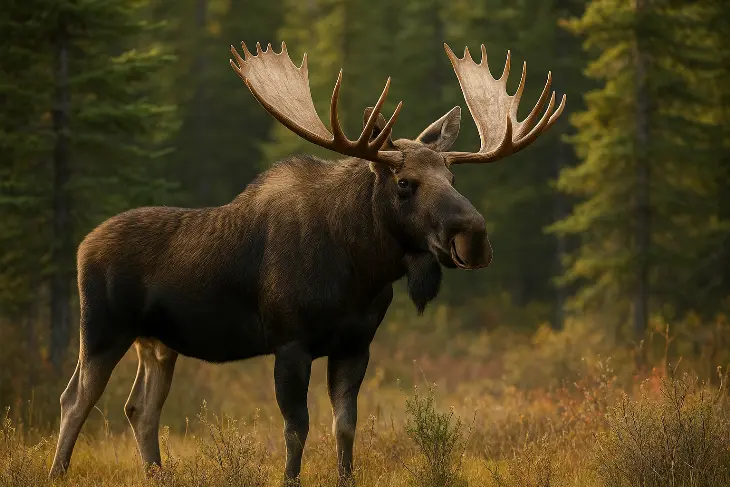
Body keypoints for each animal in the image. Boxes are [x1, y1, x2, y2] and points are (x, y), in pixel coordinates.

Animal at [49, 41, 565, 485]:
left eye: (452, 177)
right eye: (404, 183)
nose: (473, 237)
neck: (359, 271)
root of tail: (82, 246)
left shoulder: (355, 344)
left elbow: (344, 426)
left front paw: (346, 477)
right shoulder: (290, 342)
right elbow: (296, 429)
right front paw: (289, 478)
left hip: (157, 342)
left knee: (140, 408)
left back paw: (157, 474)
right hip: (102, 328)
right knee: (75, 398)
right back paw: (57, 472)